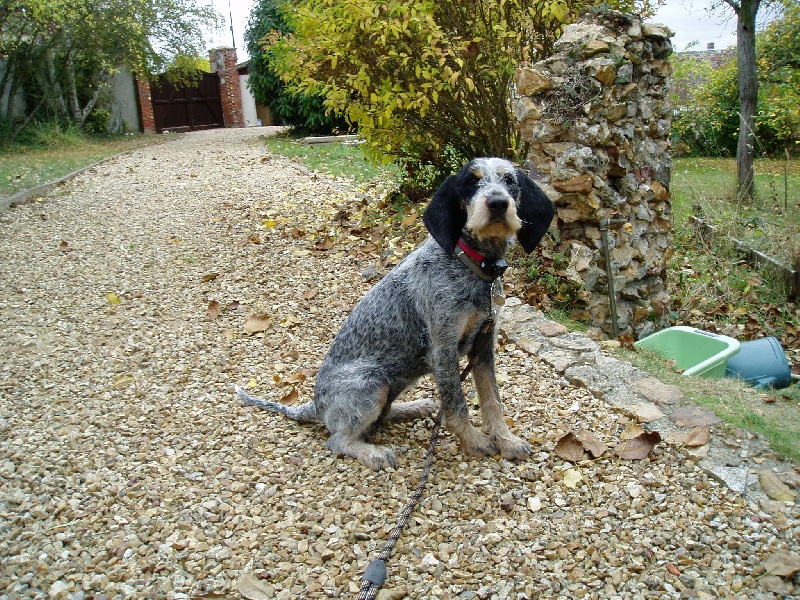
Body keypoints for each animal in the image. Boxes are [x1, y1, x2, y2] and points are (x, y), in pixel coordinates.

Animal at [236, 157, 554, 470]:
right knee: (337, 440)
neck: (471, 266)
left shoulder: (484, 345)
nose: (498, 203)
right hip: (373, 384)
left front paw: (506, 440)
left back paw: (413, 407)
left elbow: (492, 400)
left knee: (382, 415)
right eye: (471, 181)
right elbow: (457, 405)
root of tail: (316, 405)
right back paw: (373, 453)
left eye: (509, 180)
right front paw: (473, 441)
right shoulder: (443, 350)